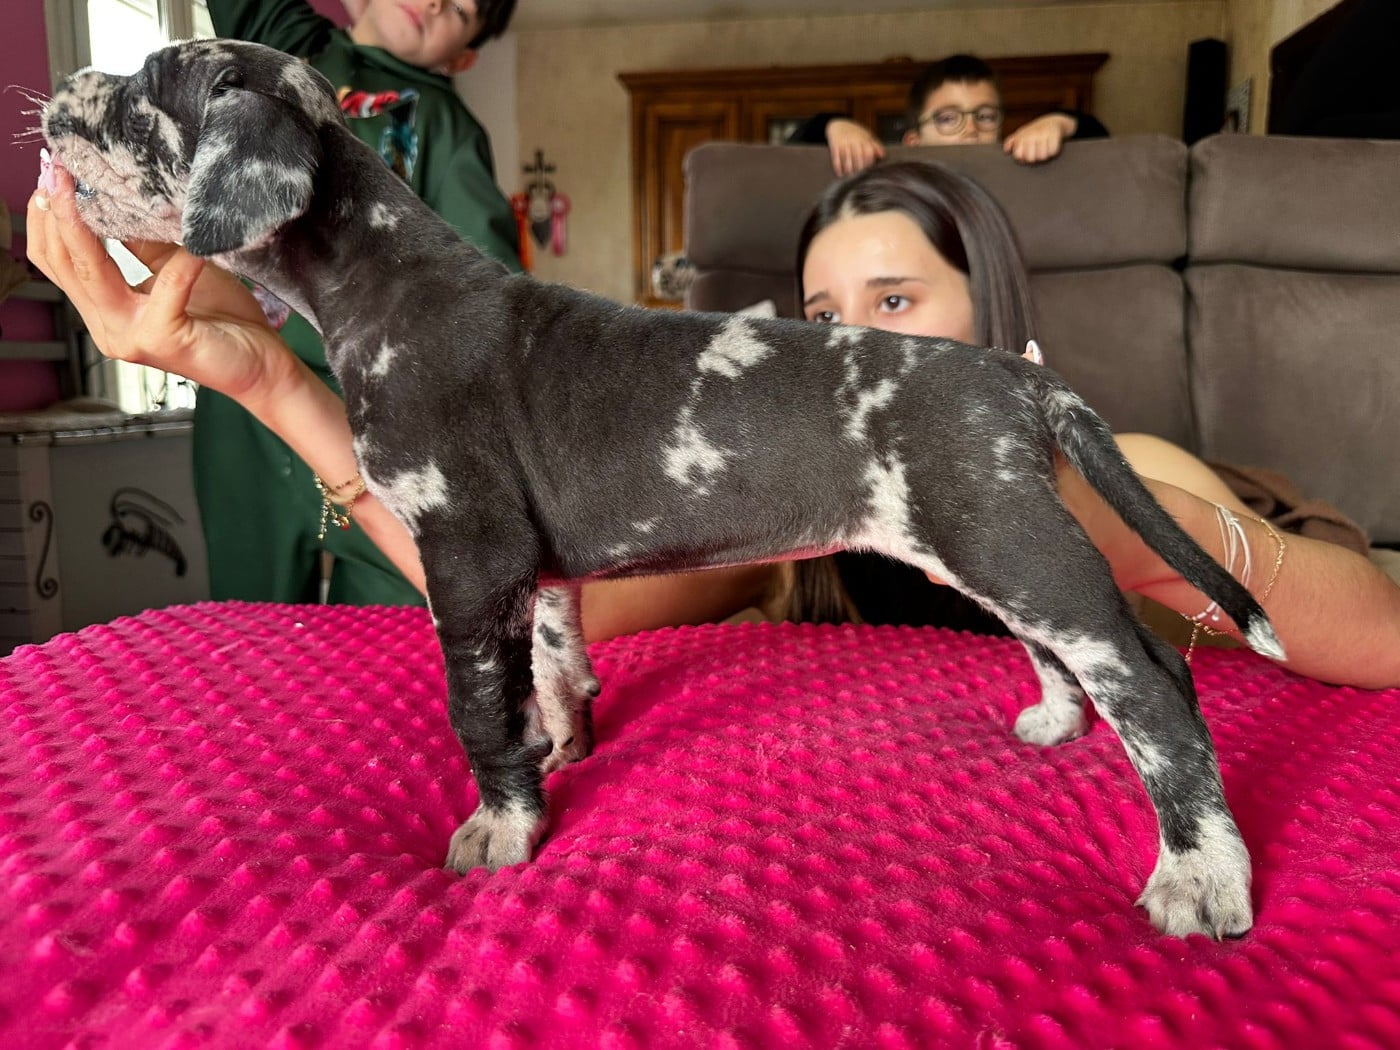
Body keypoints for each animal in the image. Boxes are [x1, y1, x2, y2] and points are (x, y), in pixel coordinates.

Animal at [43, 39, 1287, 939]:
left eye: (140, 99)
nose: (58, 96)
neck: (382, 287)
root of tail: (1017, 375)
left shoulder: (468, 556)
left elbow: (478, 713)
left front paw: (502, 828)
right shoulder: (534, 575)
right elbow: (555, 674)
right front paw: (565, 752)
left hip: (1006, 543)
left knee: (1155, 682)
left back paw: (1199, 876)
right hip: (985, 542)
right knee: (1081, 659)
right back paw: (1053, 720)